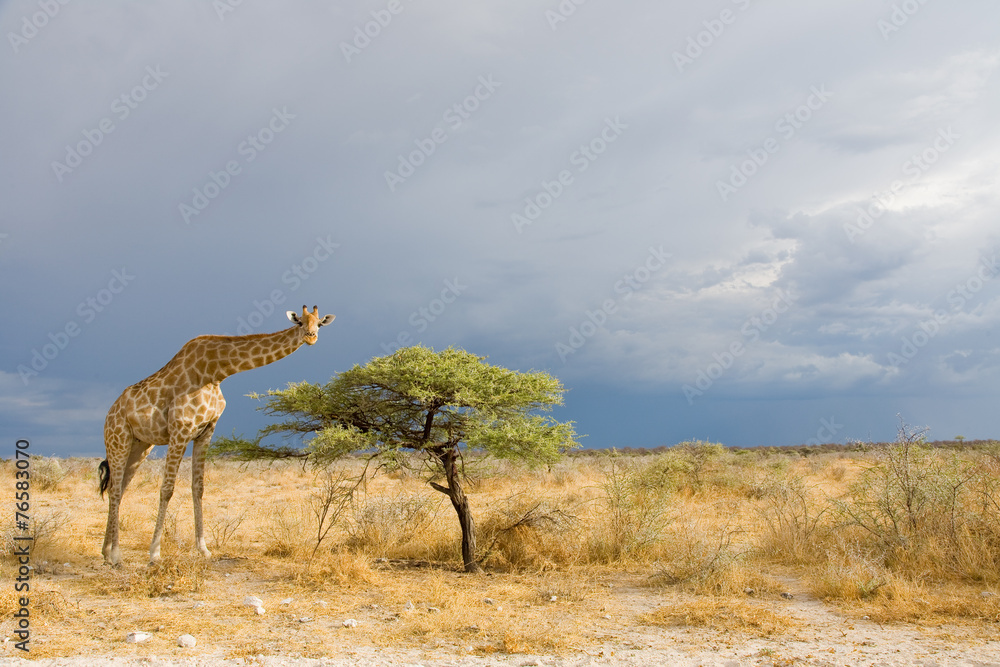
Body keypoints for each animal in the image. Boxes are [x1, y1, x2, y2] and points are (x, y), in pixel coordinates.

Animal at [98, 305, 335, 566]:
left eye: (319, 324)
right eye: (300, 322)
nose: (311, 337)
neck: (215, 371)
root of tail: (110, 412)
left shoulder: (206, 431)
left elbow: (198, 488)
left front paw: (203, 549)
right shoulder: (180, 430)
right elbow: (167, 489)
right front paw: (155, 554)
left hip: (140, 446)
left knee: (117, 487)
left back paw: (106, 551)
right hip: (118, 439)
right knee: (116, 489)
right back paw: (116, 555)